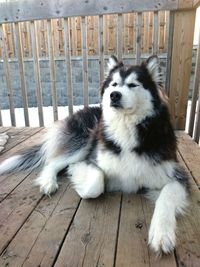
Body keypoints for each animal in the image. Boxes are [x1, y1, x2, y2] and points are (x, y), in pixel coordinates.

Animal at [0, 55, 189, 255]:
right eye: (114, 84)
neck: (126, 127)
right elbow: (95, 184)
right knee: (53, 163)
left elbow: (166, 197)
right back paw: (49, 182)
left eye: (133, 84)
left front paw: (162, 234)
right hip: (84, 139)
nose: (114, 95)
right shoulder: (95, 159)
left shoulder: (176, 175)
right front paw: (78, 179)